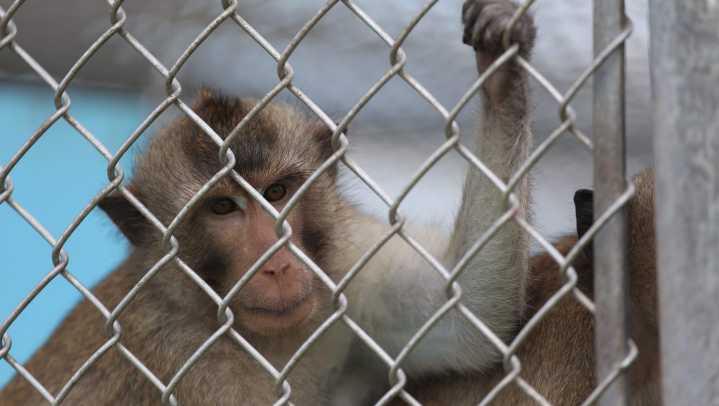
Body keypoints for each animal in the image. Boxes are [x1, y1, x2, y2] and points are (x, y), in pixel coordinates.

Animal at [0, 0, 535, 404]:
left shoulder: (351, 265)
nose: (276, 264)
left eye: (277, 192)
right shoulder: (188, 361)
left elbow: (465, 313)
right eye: (222, 208)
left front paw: (500, 67)